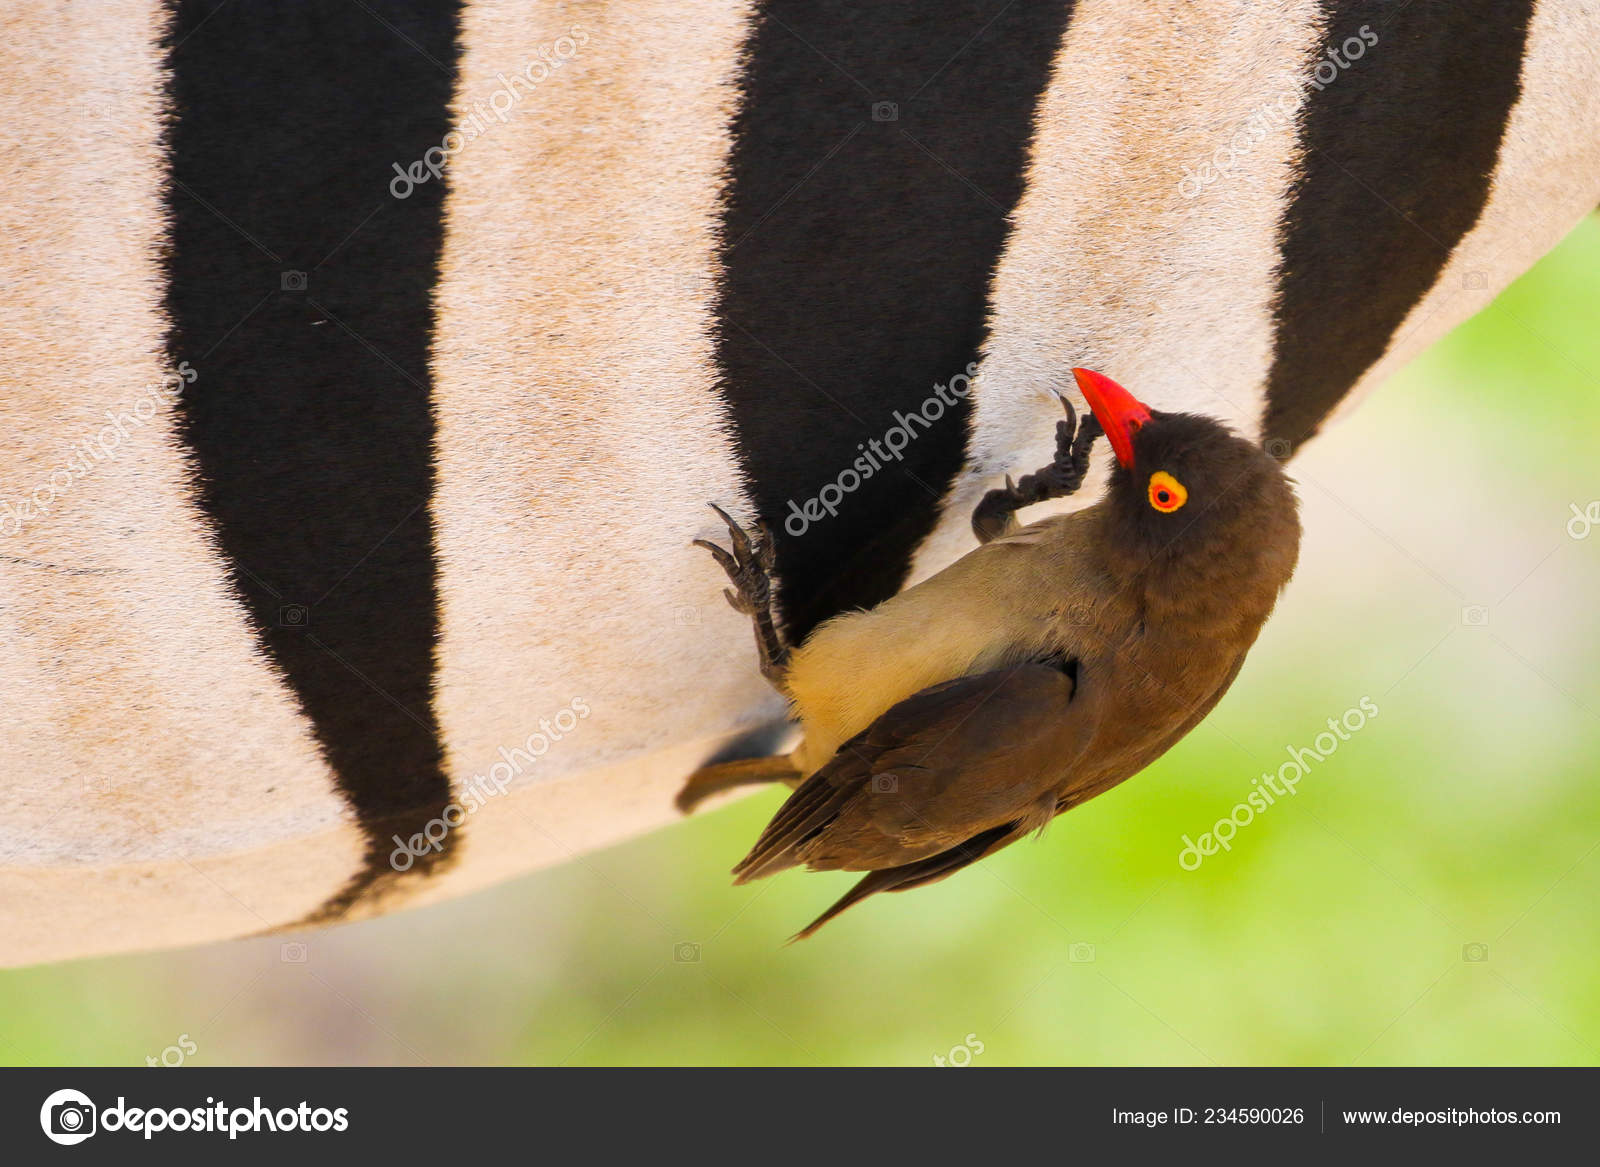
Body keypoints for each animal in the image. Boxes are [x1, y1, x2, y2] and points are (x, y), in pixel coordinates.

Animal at [2, 0, 1595, 967]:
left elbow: (971, 536)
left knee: (792, 685)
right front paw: (1061, 449)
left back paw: (759, 593)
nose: (1109, 397)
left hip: (844, 737)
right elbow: (1002, 510)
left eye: (1165, 501)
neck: (1144, 619)